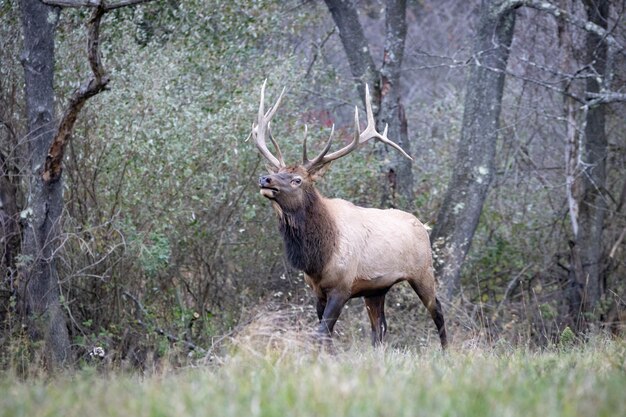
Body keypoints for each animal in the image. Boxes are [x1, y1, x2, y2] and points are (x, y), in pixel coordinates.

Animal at [249, 81, 444, 348]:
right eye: (278, 171)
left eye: (297, 179)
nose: (265, 179)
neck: (317, 257)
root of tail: (423, 226)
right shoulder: (318, 291)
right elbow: (326, 336)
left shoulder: (342, 286)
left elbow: (321, 333)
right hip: (376, 289)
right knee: (380, 328)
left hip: (423, 271)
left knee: (438, 312)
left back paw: (447, 350)